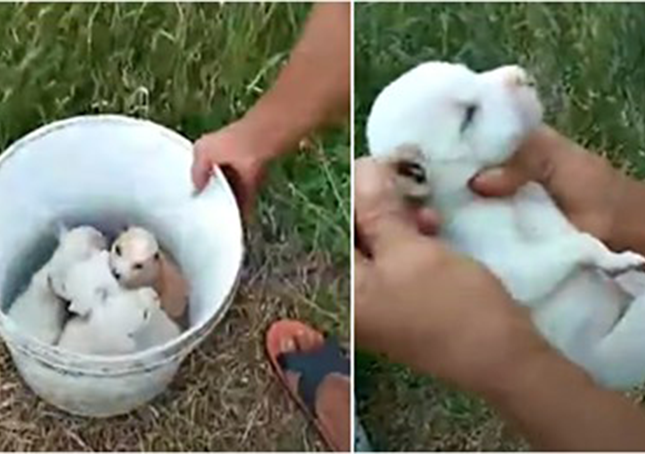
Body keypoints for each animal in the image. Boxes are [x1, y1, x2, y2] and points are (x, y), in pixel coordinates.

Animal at [370, 61, 645, 390]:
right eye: (468, 115)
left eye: (471, 72)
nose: (519, 75)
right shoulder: (505, 265)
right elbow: (573, 247)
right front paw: (612, 259)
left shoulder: (535, 193)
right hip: (611, 355)